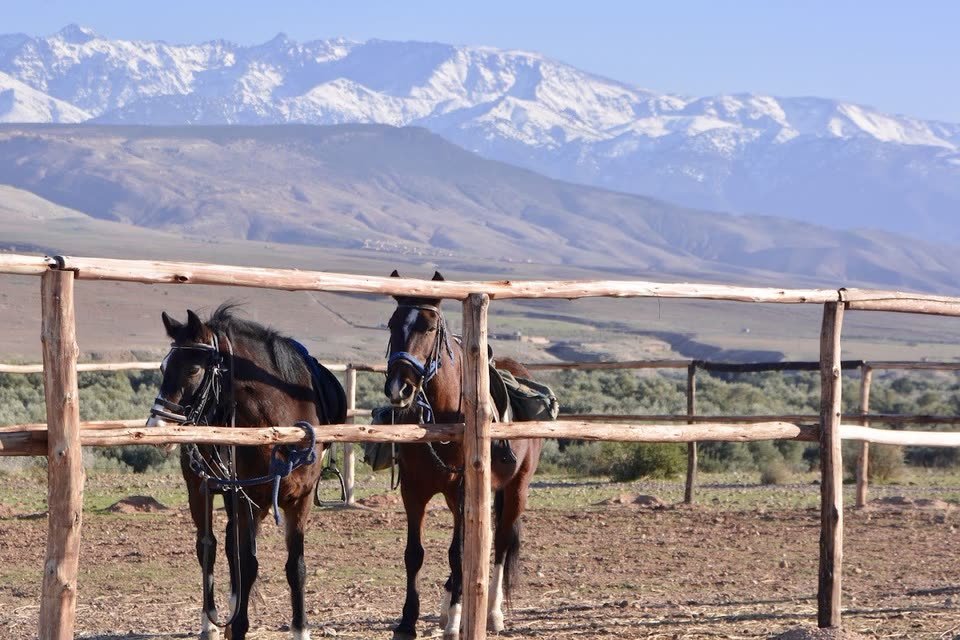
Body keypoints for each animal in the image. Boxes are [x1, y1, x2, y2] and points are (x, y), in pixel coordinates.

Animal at [146, 304, 346, 640]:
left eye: (193, 370)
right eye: (162, 368)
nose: (157, 428)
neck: (280, 430)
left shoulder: (298, 500)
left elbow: (296, 567)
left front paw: (300, 629)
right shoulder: (247, 500)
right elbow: (247, 564)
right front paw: (237, 625)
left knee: (228, 546)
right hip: (201, 489)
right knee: (208, 547)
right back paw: (210, 623)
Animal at [384, 271, 544, 640]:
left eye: (429, 327)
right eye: (392, 324)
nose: (399, 388)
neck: (443, 416)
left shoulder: (461, 490)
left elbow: (458, 553)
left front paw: (457, 621)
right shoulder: (414, 490)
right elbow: (414, 553)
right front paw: (407, 622)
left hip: (516, 489)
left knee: (500, 545)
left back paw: (491, 614)